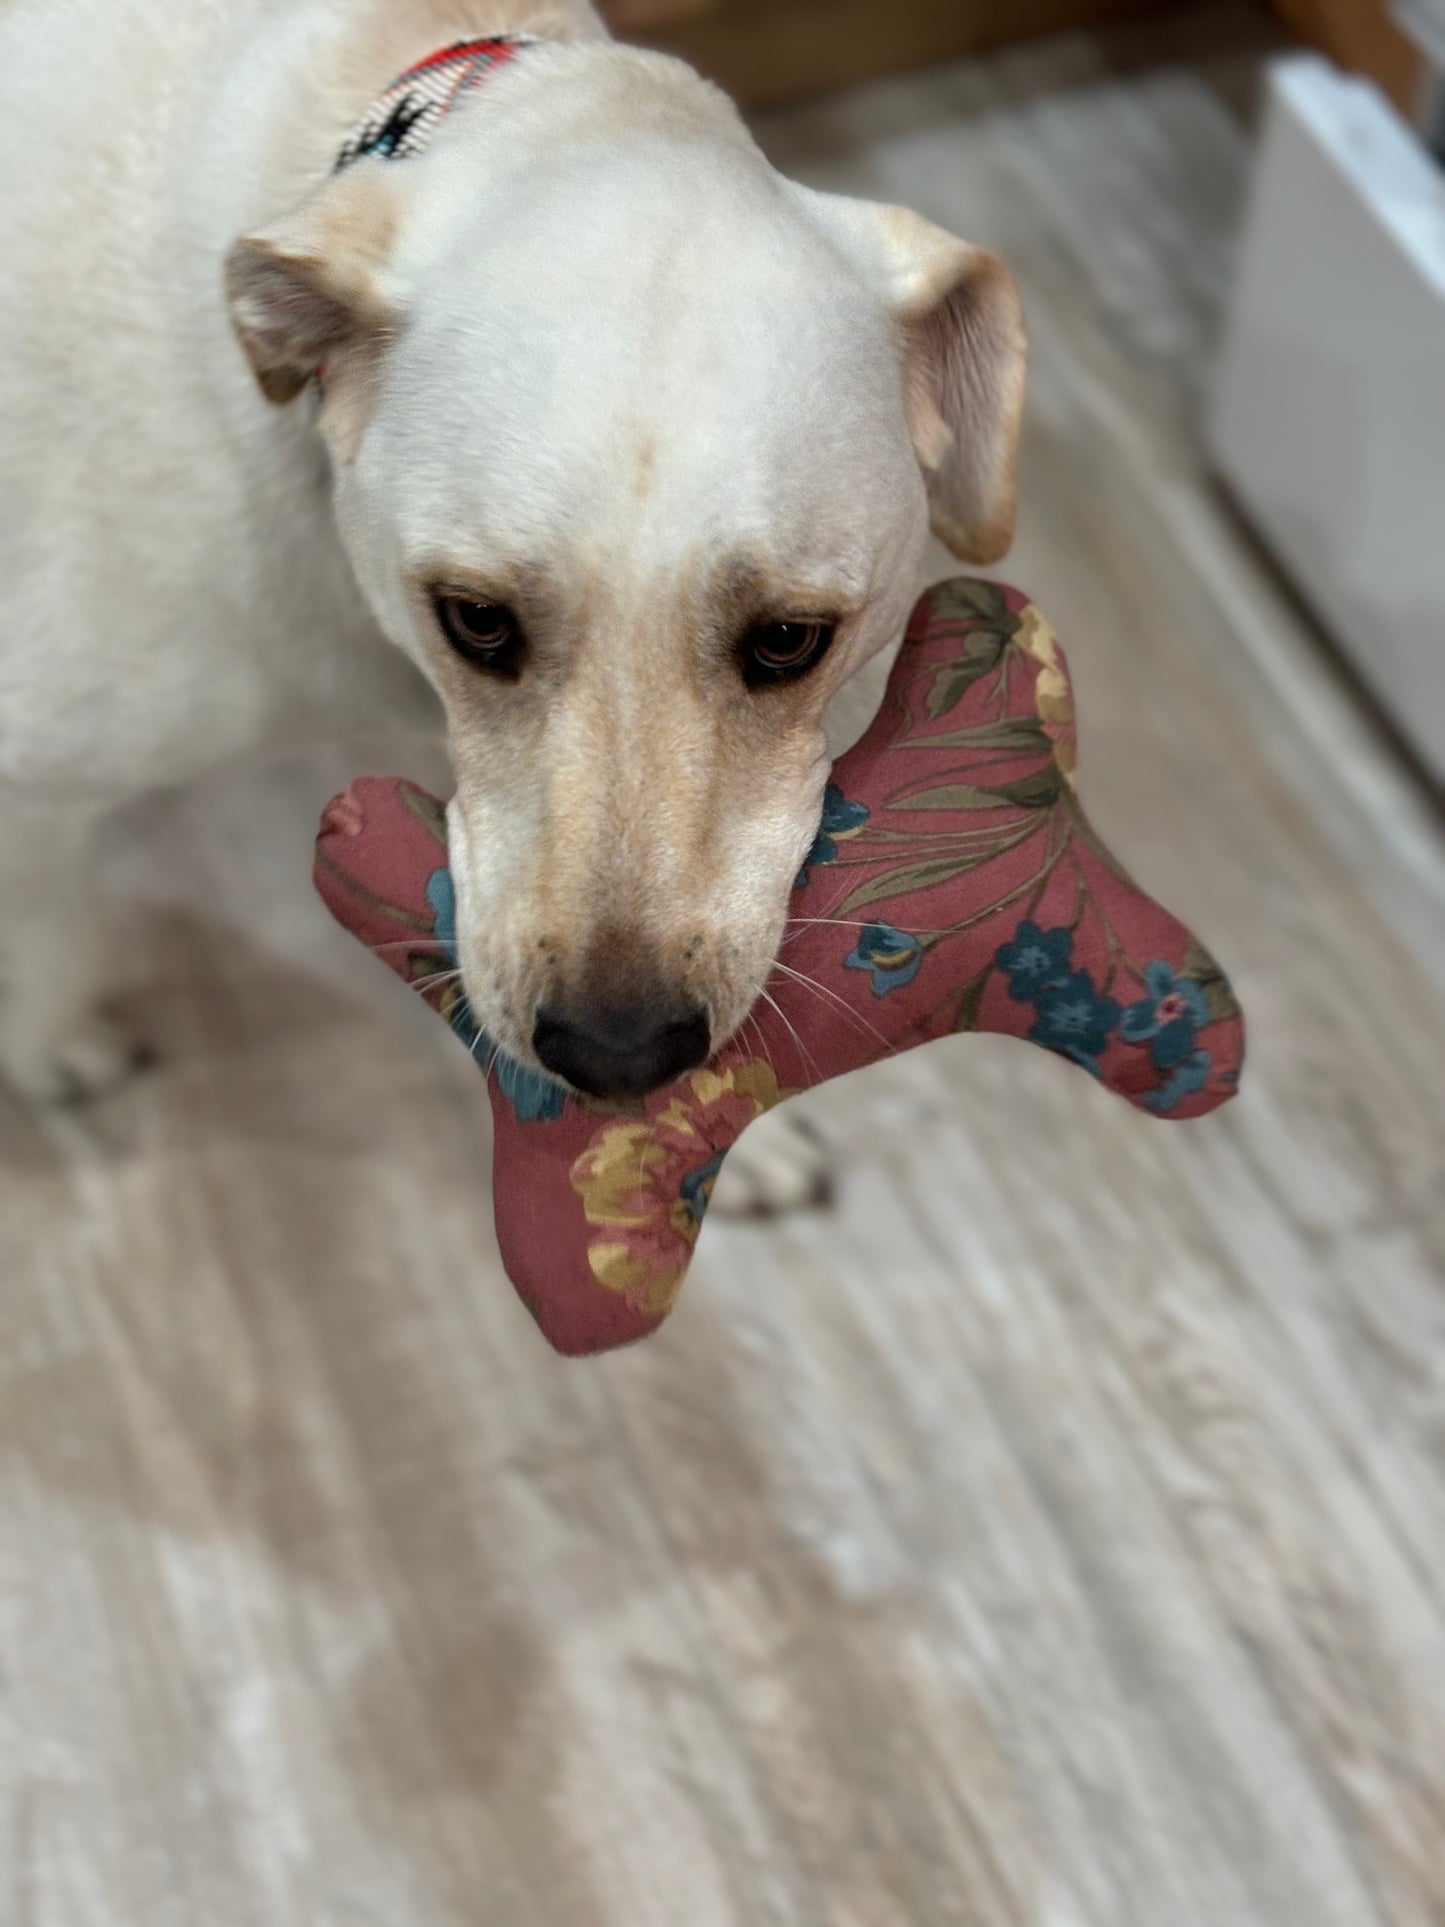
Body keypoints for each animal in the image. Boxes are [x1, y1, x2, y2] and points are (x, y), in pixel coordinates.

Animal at [0, 3, 1024, 1202]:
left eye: (788, 639)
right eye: (476, 620)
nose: (619, 1057)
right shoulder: (33, 774)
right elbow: (49, 931)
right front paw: (51, 1045)